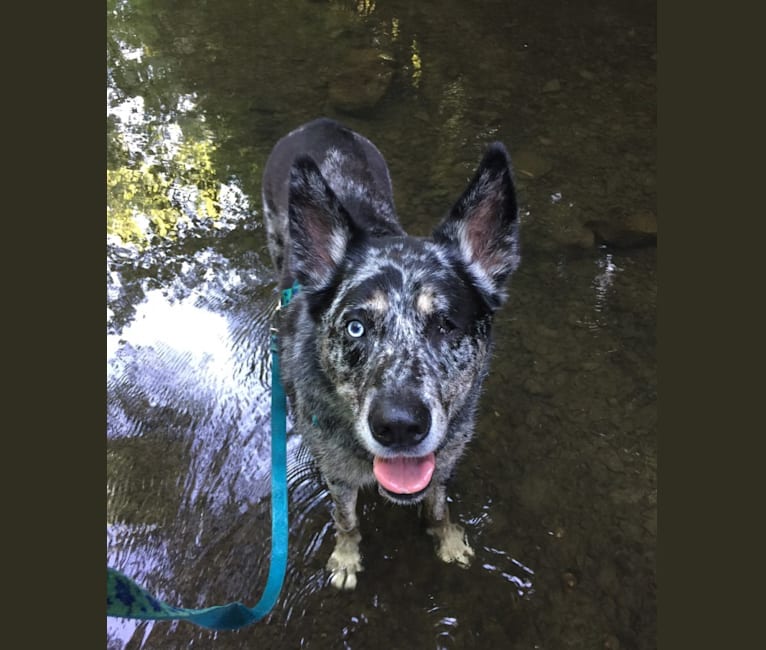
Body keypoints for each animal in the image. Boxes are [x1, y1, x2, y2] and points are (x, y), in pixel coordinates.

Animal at [260, 116, 520, 588]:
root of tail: (321, 123)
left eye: (445, 324)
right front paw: (346, 558)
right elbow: (346, 520)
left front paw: (448, 540)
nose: (399, 427)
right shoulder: (339, 476)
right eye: (356, 327)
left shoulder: (443, 462)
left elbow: (438, 506)